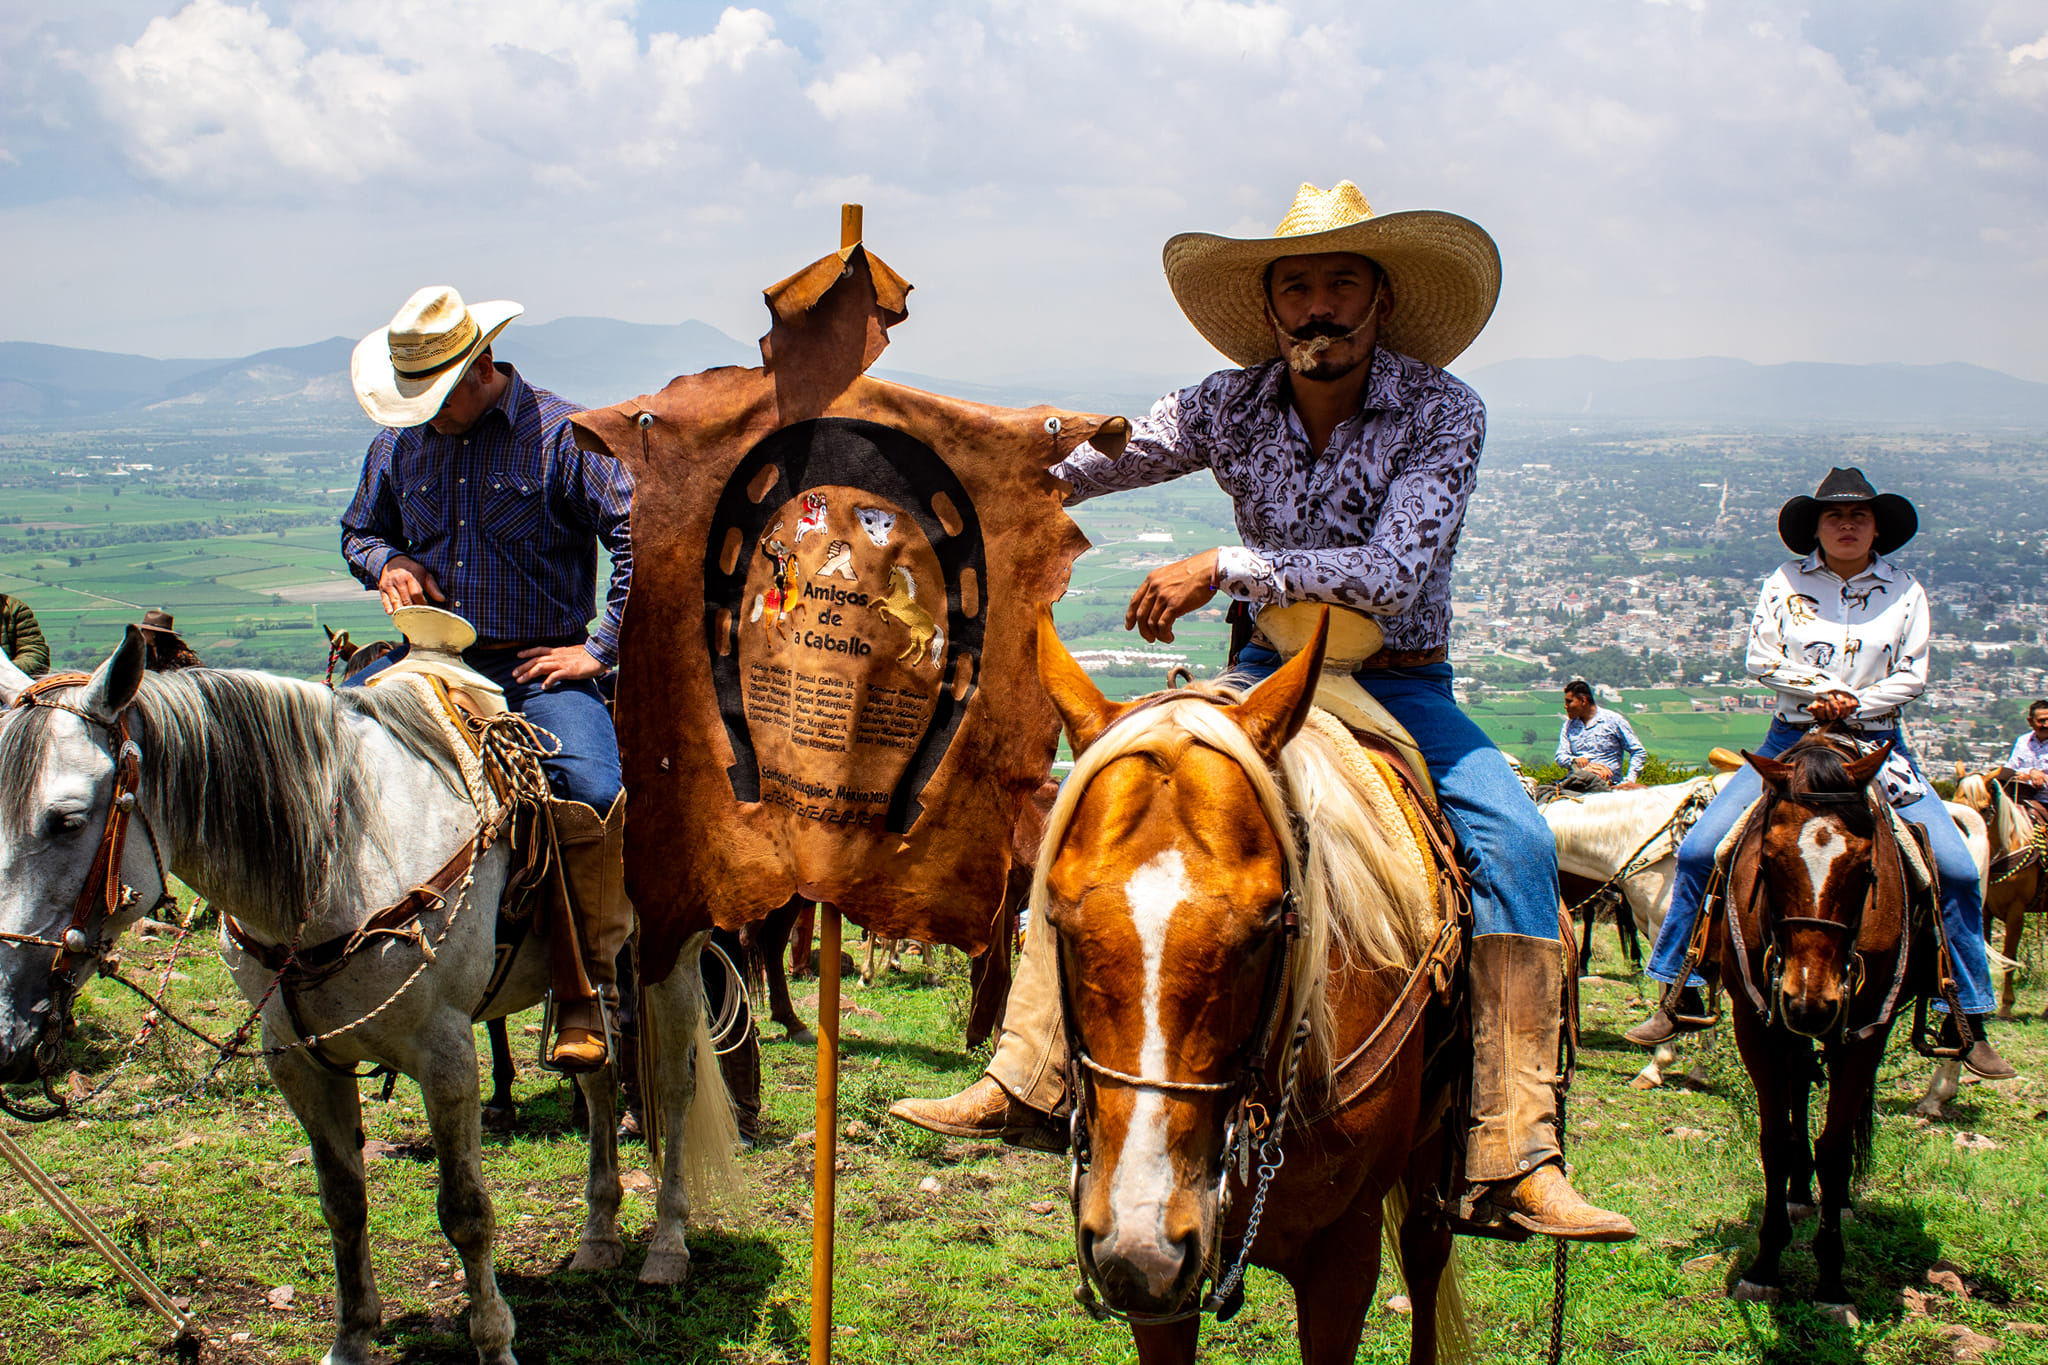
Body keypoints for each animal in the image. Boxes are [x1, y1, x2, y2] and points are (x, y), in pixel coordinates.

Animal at [0, 634, 737, 1365]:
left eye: (66, 819)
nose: (9, 1034)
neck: (339, 854)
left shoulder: (445, 1051)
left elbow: (466, 1210)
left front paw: (493, 1339)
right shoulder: (298, 1059)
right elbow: (343, 1200)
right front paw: (352, 1337)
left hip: (672, 956)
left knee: (674, 1087)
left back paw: (668, 1245)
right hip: (586, 978)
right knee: (598, 1077)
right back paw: (598, 1237)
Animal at [1032, 609, 1466, 1365]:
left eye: (1269, 922)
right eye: (1058, 916)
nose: (1139, 1248)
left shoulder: (1343, 1261)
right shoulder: (1160, 1282)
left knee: (1425, 1250)